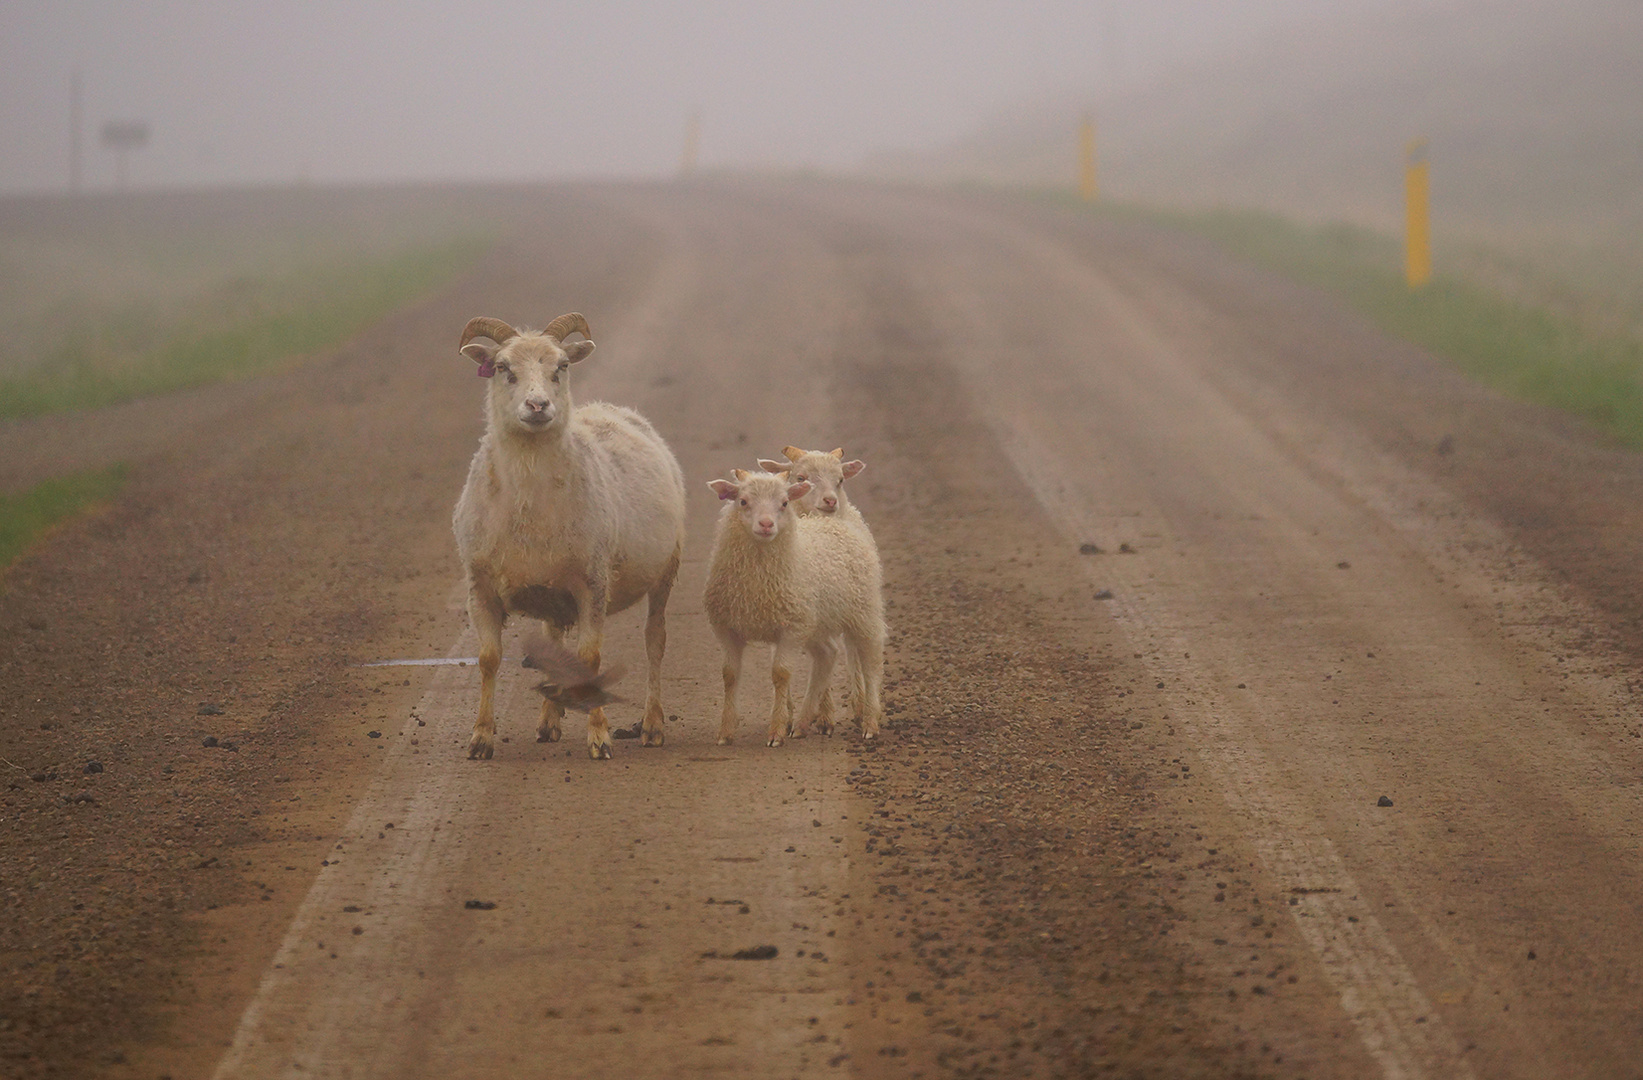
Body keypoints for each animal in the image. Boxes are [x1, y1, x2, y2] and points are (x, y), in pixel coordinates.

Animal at [450, 313, 686, 759]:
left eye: (561, 366)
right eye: (503, 368)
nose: (538, 406)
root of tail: (610, 408)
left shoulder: (592, 583)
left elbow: (590, 659)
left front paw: (599, 737)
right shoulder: (480, 586)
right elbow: (488, 659)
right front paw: (480, 737)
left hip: (666, 568)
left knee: (656, 641)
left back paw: (652, 725)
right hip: (551, 592)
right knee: (553, 646)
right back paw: (548, 721)